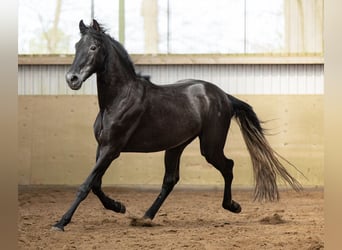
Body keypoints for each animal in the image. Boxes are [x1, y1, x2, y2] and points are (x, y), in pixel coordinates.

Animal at [52, 19, 302, 230]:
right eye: (77, 46)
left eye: (93, 47)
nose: (72, 79)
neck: (118, 99)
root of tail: (223, 95)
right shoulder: (102, 147)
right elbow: (95, 184)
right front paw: (118, 207)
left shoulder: (112, 149)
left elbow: (86, 185)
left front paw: (61, 222)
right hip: (176, 146)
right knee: (170, 180)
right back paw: (146, 217)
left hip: (210, 147)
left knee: (228, 166)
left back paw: (232, 206)